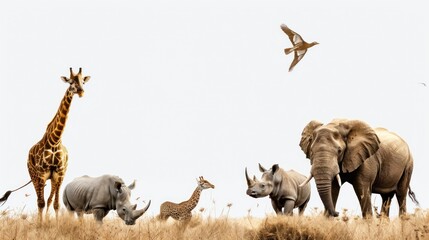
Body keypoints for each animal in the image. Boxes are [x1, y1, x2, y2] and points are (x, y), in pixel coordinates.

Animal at [0, 67, 90, 223]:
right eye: (70, 81)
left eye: (83, 81)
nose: (81, 91)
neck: (55, 140)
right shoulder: (41, 174)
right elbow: (41, 202)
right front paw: (40, 225)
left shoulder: (59, 174)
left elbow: (55, 204)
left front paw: (55, 224)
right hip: (33, 175)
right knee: (39, 200)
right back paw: (40, 220)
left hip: (52, 179)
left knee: (48, 200)